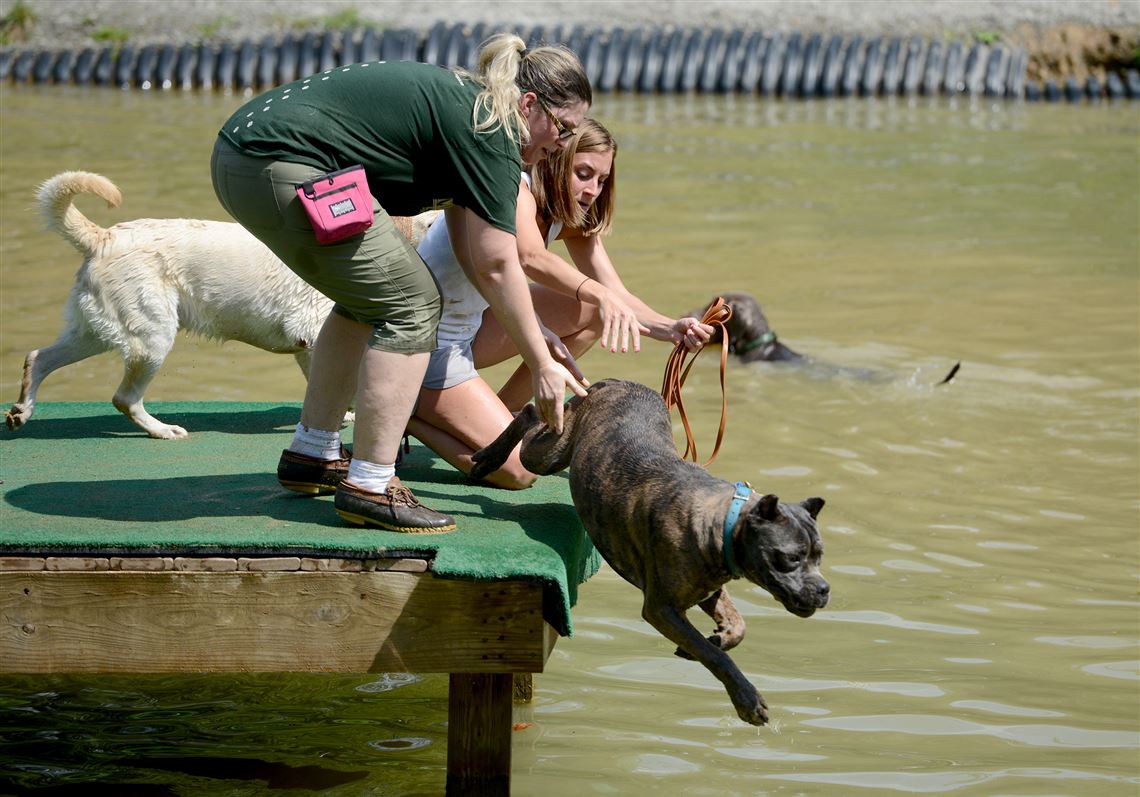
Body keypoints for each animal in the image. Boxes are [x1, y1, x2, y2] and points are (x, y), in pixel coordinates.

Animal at [467, 380, 834, 729]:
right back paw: (490, 457)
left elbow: (736, 627)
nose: (824, 589)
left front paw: (718, 638)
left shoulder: (708, 587)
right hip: (547, 453)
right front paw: (747, 699)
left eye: (818, 556)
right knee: (528, 415)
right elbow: (714, 656)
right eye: (791, 557)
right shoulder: (661, 609)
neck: (722, 523)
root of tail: (614, 382)